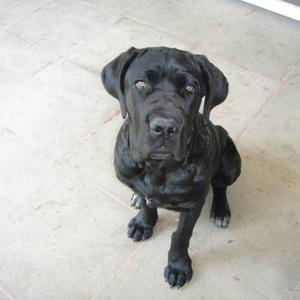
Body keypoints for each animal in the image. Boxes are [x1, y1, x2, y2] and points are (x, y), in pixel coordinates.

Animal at [101, 47, 241, 288]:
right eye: (140, 84)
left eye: (190, 88)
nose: (164, 127)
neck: (158, 168)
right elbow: (147, 205)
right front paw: (144, 223)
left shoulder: (192, 205)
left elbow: (182, 235)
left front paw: (178, 266)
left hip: (231, 161)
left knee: (220, 186)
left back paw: (221, 210)